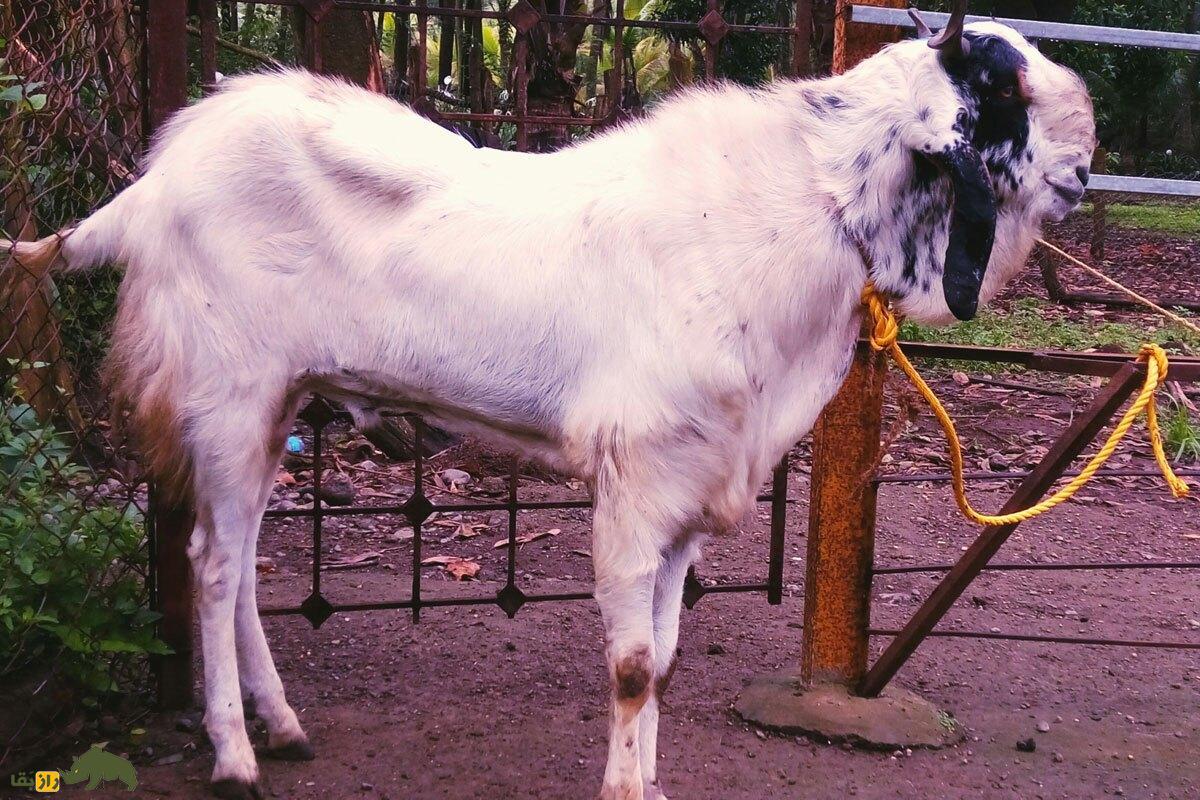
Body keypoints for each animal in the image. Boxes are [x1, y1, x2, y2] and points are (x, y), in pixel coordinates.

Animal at [11, 7, 1099, 800]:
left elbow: (665, 659)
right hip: (230, 392)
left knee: (234, 562)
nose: (1085, 169)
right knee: (211, 562)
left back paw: (280, 726)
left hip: (277, 398)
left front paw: (647, 783)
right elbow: (631, 664)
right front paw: (621, 786)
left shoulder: (689, 497)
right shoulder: (637, 480)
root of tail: (150, 186)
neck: (796, 210)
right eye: (999, 82)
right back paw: (235, 755)